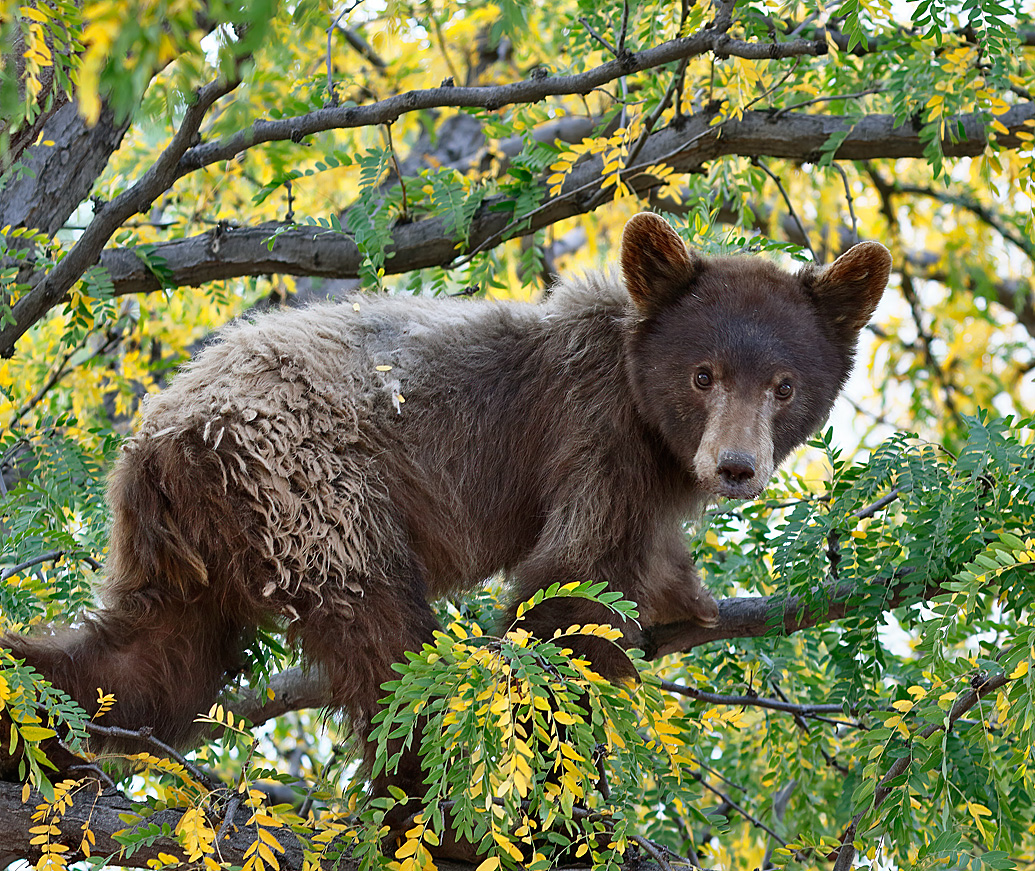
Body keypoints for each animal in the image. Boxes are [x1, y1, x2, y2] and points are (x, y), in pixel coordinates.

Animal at [0, 212, 890, 794]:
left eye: (783, 385)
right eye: (703, 374)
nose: (735, 466)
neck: (654, 427)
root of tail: (168, 436)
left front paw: (684, 603)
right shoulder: (593, 429)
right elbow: (569, 585)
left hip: (189, 541)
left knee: (143, 665)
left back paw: (31, 718)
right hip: (308, 489)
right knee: (385, 644)